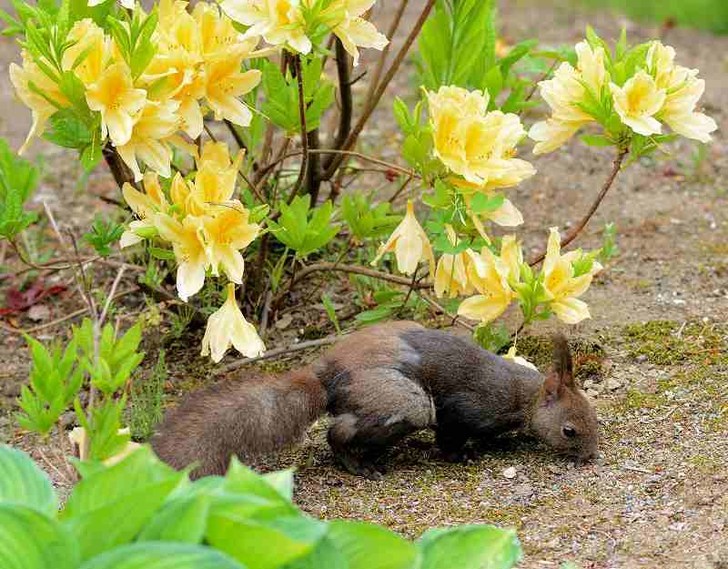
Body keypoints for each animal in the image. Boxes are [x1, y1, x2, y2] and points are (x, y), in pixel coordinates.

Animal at [152, 322, 596, 478]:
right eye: (569, 430)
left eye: (595, 417)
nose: (592, 456)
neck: (522, 394)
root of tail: (328, 375)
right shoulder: (467, 407)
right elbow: (450, 437)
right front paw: (463, 455)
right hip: (403, 401)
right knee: (337, 433)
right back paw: (360, 464)